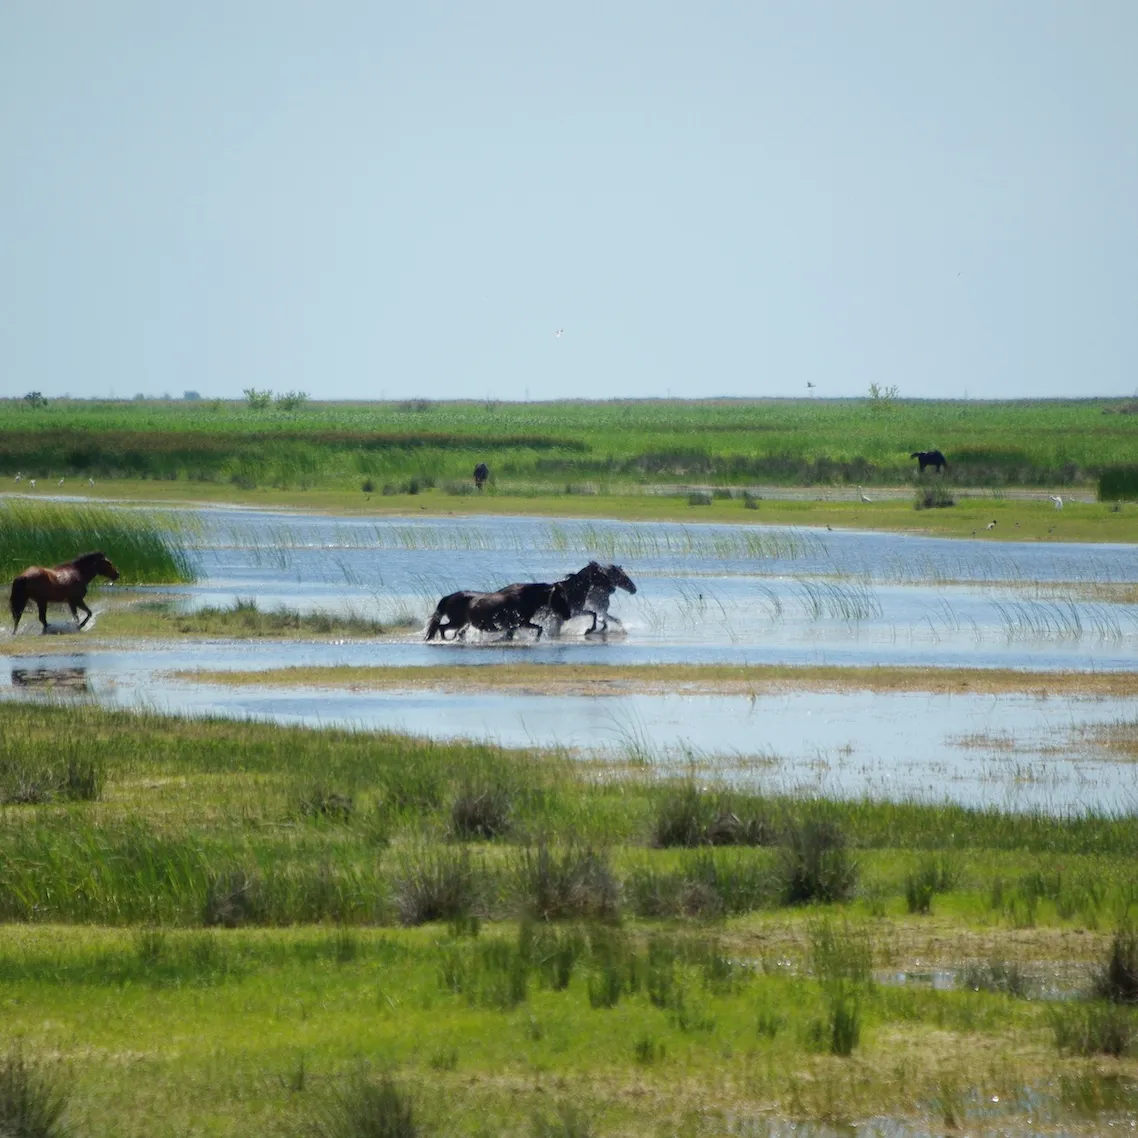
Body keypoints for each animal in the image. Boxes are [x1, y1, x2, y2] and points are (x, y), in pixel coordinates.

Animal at [425, 581, 571, 641]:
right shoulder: (521, 623)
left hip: (463, 623)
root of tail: (448, 597)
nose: (568, 615)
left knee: (447, 629)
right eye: (560, 597)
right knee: (441, 627)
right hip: (457, 621)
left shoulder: (514, 626)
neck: (525, 598)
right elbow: (539, 628)